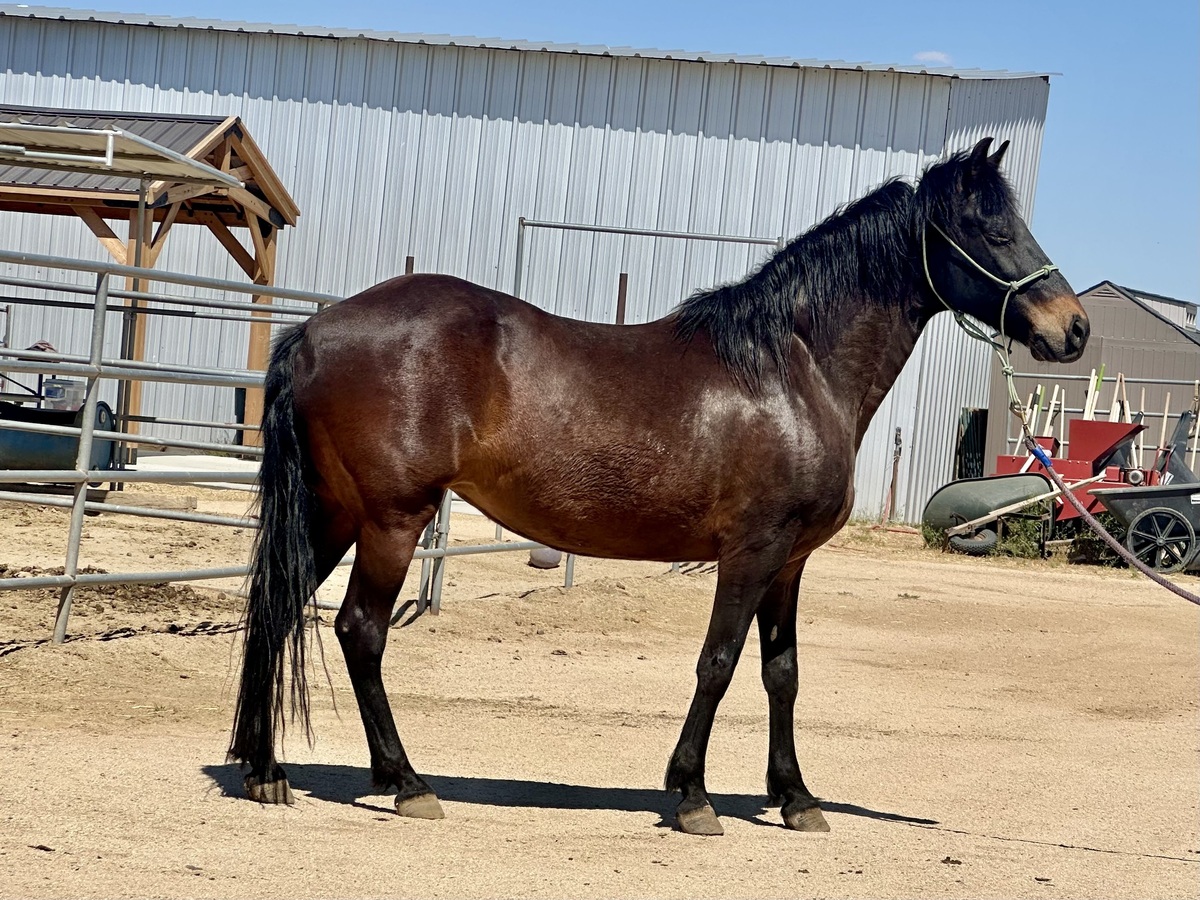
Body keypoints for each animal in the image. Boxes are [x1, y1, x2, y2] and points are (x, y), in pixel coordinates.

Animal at [229, 137, 1089, 836]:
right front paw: (694, 797)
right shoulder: (752, 550)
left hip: (335, 512)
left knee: (277, 609)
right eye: (990, 230)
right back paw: (406, 783)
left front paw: (796, 799)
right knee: (360, 631)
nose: (1073, 328)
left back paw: (267, 772)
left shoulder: (791, 561)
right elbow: (719, 663)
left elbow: (782, 674)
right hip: (392, 519)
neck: (793, 369)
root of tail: (316, 328)